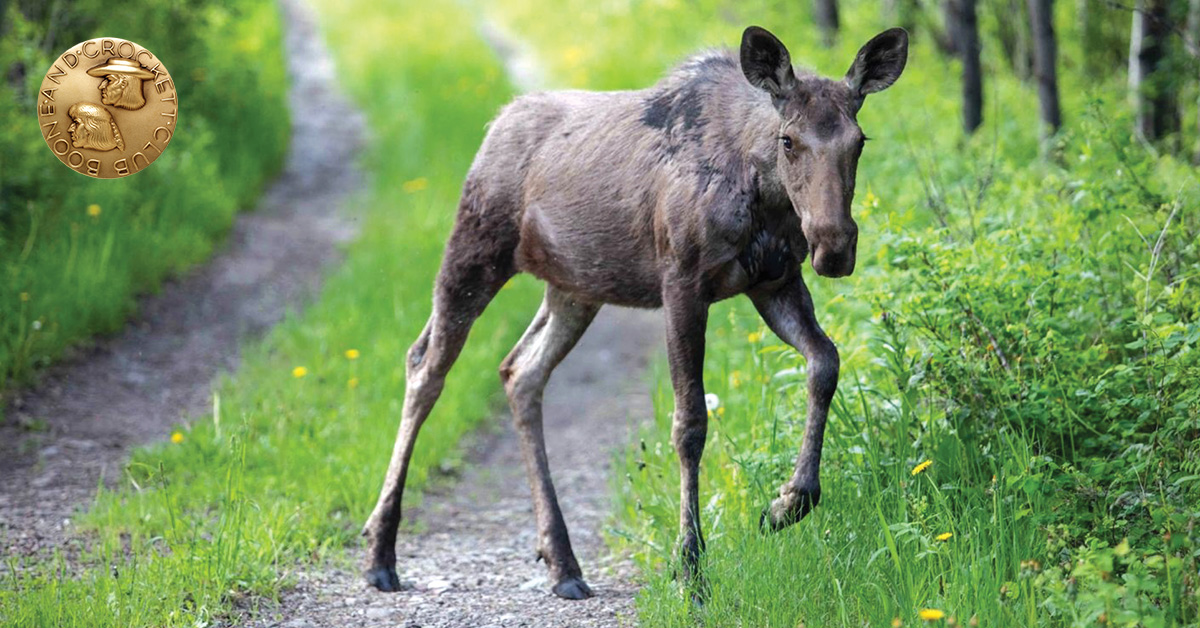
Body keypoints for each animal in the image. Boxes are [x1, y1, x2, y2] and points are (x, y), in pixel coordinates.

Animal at [362, 25, 908, 600]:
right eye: (789, 140)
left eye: (859, 141)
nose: (834, 246)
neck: (766, 196)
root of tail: (496, 124)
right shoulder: (682, 283)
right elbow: (689, 424)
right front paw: (690, 566)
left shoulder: (774, 282)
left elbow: (825, 363)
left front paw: (785, 504)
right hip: (475, 250)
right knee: (426, 365)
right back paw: (380, 551)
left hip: (574, 288)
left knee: (520, 371)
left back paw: (562, 561)